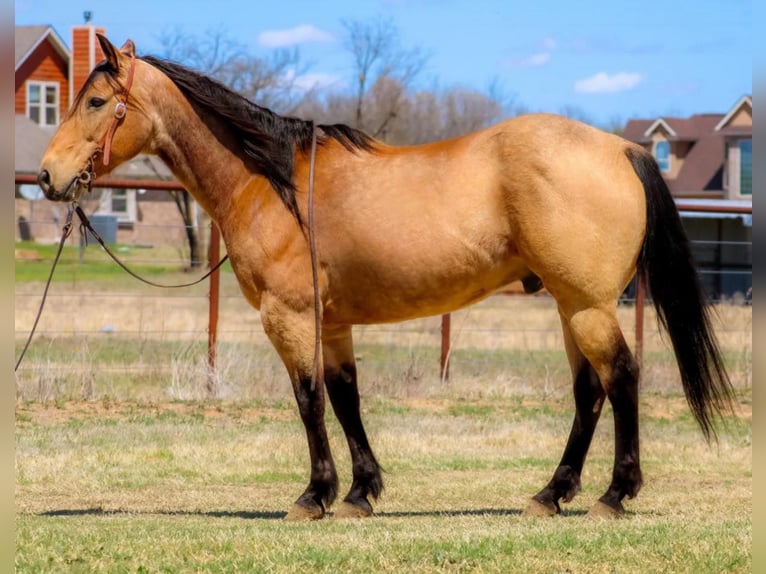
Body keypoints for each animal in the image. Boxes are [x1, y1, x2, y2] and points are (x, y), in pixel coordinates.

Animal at [37, 35, 736, 520]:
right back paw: (550, 494)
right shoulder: (333, 323)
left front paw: (314, 496)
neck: (273, 182)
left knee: (621, 378)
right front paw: (359, 492)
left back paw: (614, 495)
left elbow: (309, 400)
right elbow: (345, 398)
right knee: (590, 392)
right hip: (571, 307)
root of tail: (620, 147)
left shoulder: (289, 317)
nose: (46, 176)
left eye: (96, 101)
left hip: (588, 306)